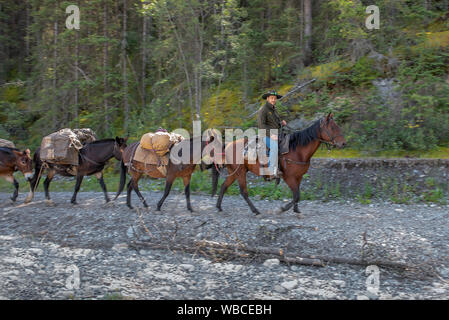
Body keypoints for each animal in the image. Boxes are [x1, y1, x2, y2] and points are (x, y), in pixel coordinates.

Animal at [214, 114, 346, 216]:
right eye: (332, 127)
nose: (344, 143)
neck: (297, 150)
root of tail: (228, 145)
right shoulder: (288, 177)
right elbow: (296, 195)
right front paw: (281, 209)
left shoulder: (298, 177)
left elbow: (297, 194)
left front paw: (296, 209)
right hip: (240, 172)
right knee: (243, 192)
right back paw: (255, 210)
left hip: (234, 172)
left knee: (224, 186)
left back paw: (219, 207)